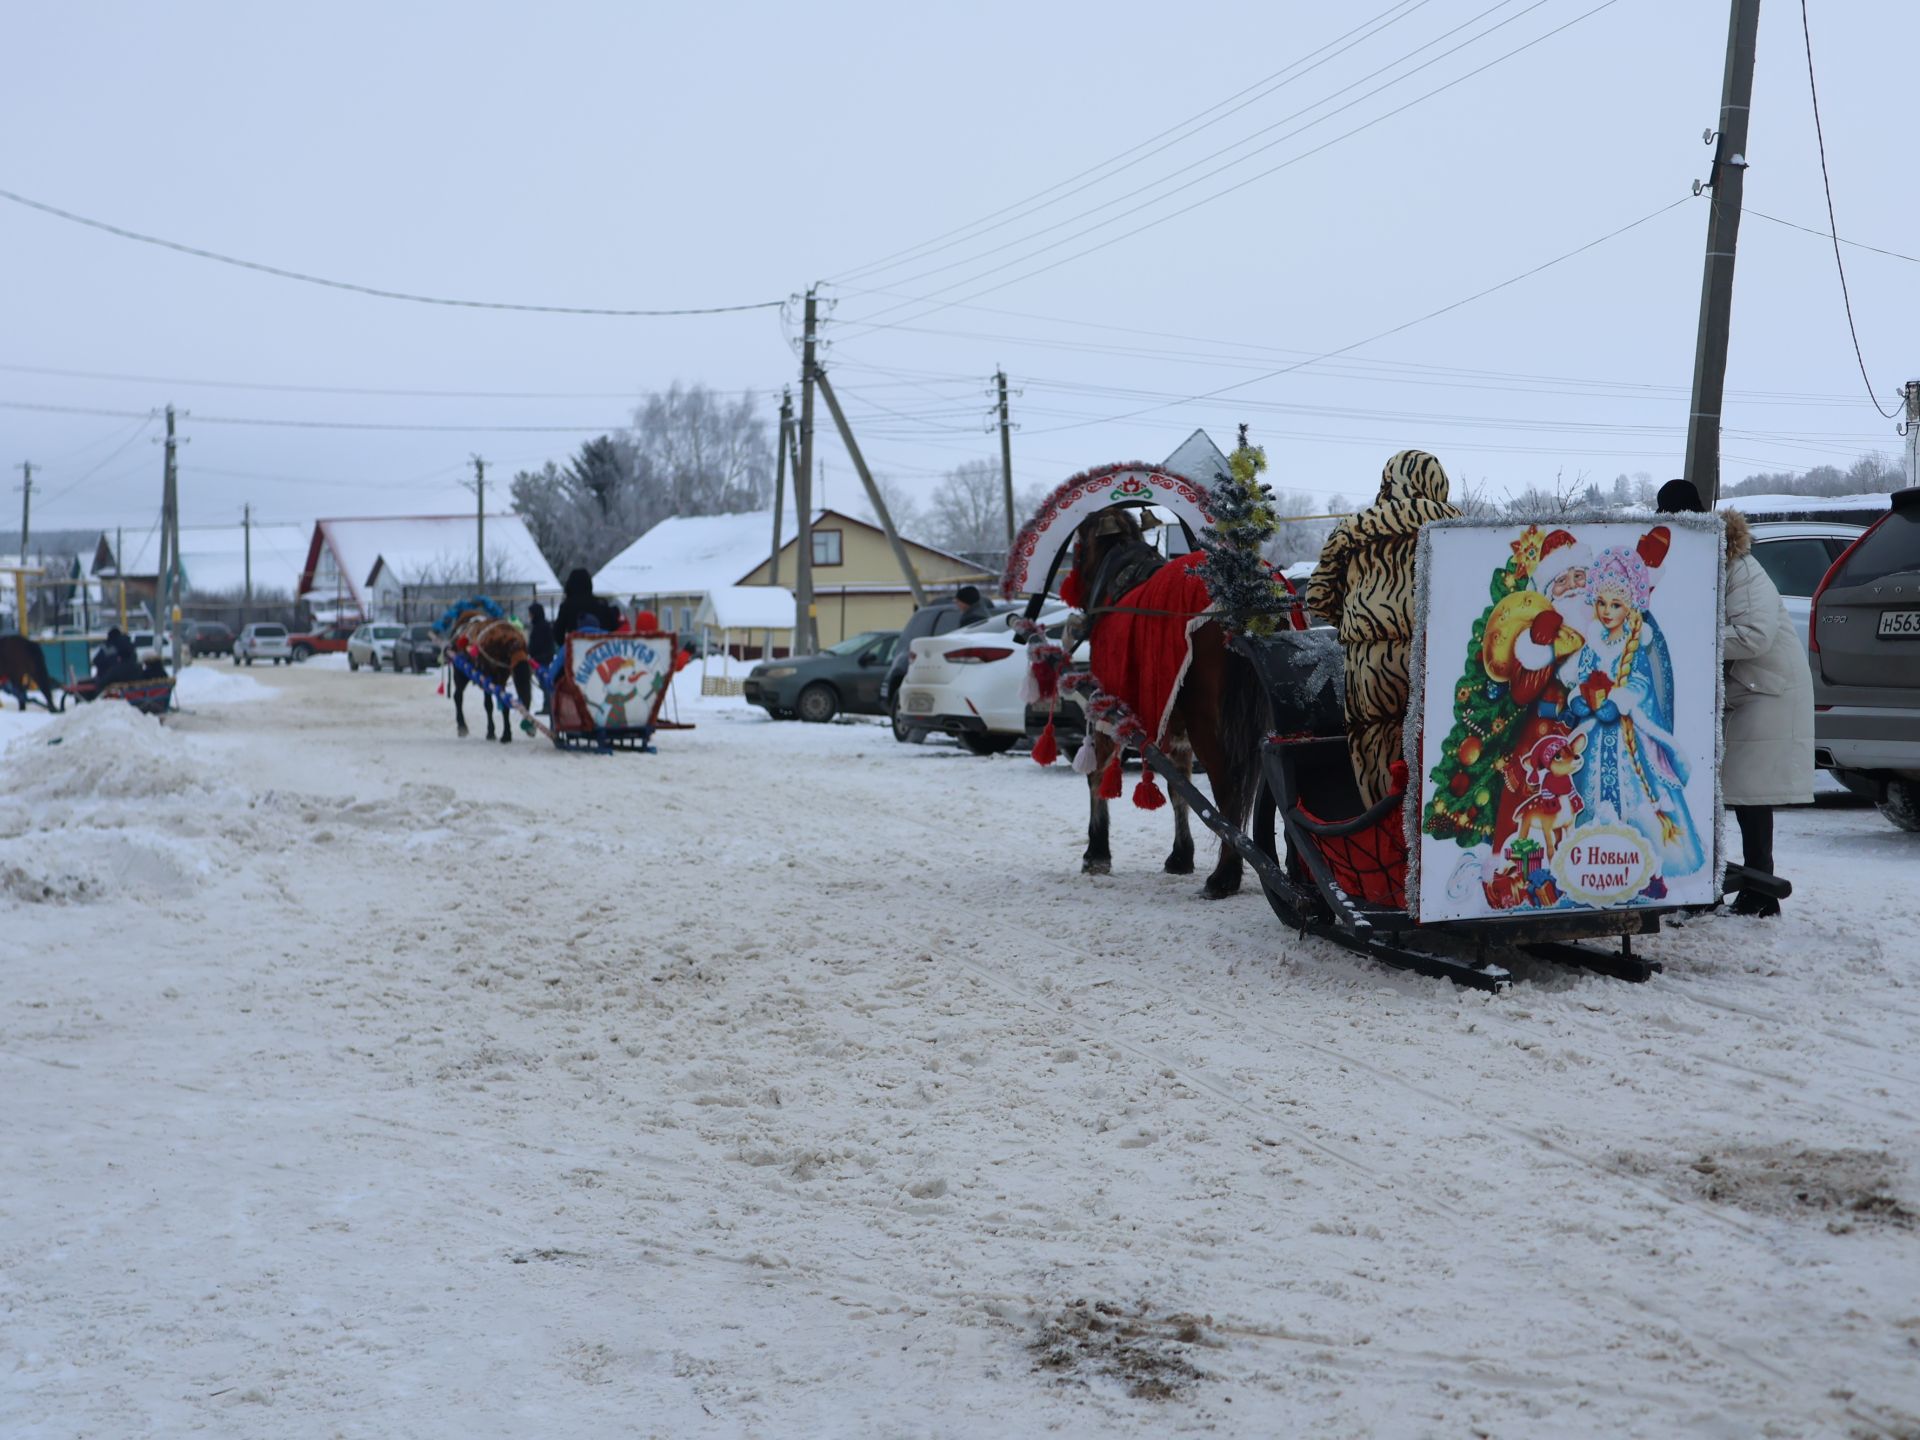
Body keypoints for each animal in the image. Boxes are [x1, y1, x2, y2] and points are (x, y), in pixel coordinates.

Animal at [447, 610, 537, 744]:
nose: (530, 728)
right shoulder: (487, 676)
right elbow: (488, 705)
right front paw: (491, 732)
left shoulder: (502, 679)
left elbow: (505, 705)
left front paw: (506, 734)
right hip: (460, 673)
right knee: (457, 696)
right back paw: (462, 726)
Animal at [1067, 514, 1274, 902]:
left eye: (1078, 547)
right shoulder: (1175, 732)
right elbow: (1180, 789)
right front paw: (1181, 855)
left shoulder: (1107, 712)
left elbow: (1097, 776)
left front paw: (1096, 852)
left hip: (1210, 725)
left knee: (1228, 792)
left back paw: (1225, 875)